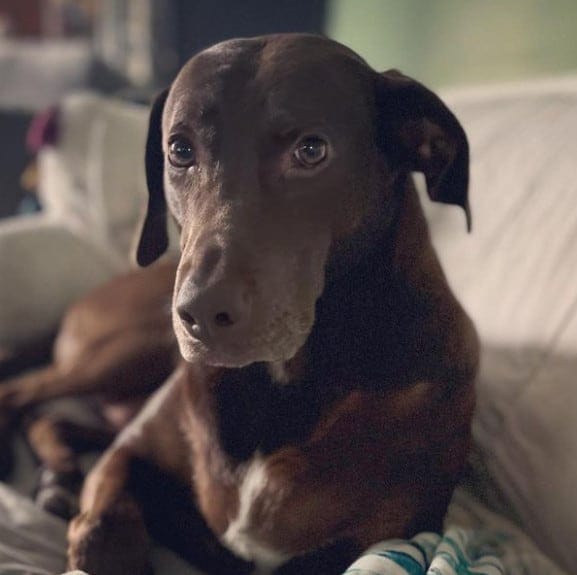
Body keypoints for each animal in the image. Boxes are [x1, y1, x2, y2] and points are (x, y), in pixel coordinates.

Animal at [65, 35, 476, 575]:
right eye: (180, 150)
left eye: (311, 150)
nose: (200, 314)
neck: (283, 378)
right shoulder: (128, 451)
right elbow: (103, 527)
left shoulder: (391, 532)